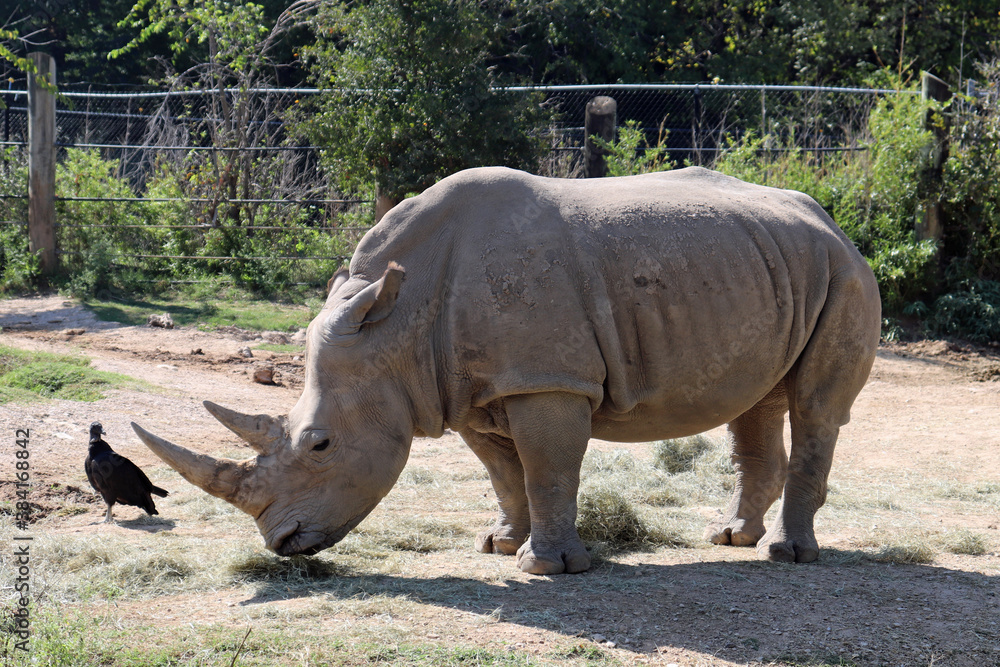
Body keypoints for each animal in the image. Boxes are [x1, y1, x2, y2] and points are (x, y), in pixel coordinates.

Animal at [132, 166, 880, 574]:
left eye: (320, 445)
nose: (280, 542)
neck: (396, 324)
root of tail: (828, 219)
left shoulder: (544, 378)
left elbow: (548, 468)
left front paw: (547, 567)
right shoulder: (463, 389)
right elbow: (505, 472)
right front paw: (498, 543)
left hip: (843, 274)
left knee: (816, 408)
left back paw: (787, 555)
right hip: (769, 265)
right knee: (756, 404)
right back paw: (730, 538)